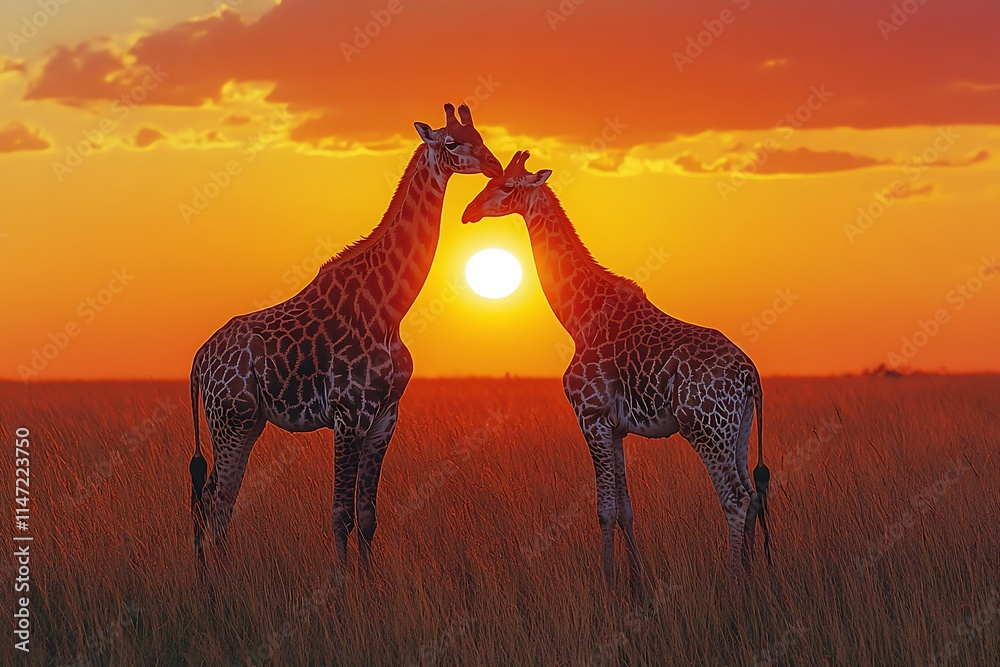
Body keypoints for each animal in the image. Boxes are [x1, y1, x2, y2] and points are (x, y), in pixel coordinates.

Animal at [188, 103, 502, 574]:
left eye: (480, 135)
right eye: (452, 142)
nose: (494, 165)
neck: (388, 309)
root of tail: (198, 362)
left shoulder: (385, 416)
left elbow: (368, 515)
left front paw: (370, 582)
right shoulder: (348, 415)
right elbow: (341, 514)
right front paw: (341, 584)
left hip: (247, 421)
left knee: (213, 499)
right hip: (230, 418)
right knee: (215, 500)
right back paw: (217, 580)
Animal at [462, 151, 771, 594]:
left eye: (505, 186)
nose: (468, 212)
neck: (578, 317)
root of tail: (750, 375)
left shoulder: (590, 417)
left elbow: (604, 509)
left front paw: (607, 587)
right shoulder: (617, 426)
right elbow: (625, 508)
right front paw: (637, 584)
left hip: (706, 429)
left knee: (735, 499)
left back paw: (732, 585)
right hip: (739, 427)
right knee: (753, 495)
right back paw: (749, 578)